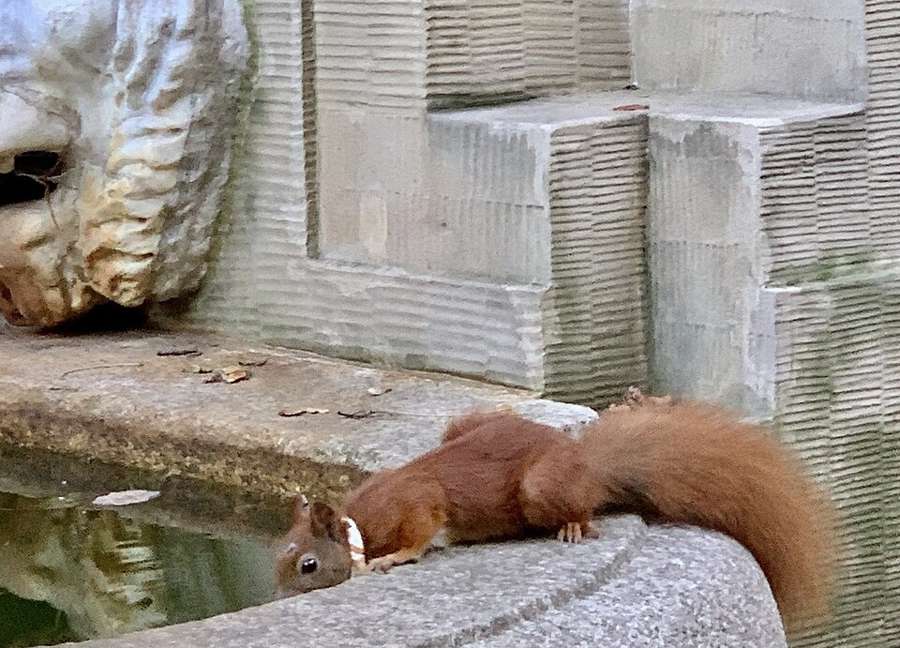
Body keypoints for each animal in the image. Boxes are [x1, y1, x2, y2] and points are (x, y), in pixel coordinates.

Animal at [275, 389, 835, 636]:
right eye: (278, 556)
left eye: (307, 565)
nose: (278, 600)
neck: (356, 528)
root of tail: (586, 462)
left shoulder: (415, 500)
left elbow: (421, 527)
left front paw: (395, 559)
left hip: (540, 487)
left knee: (581, 507)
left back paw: (573, 525)